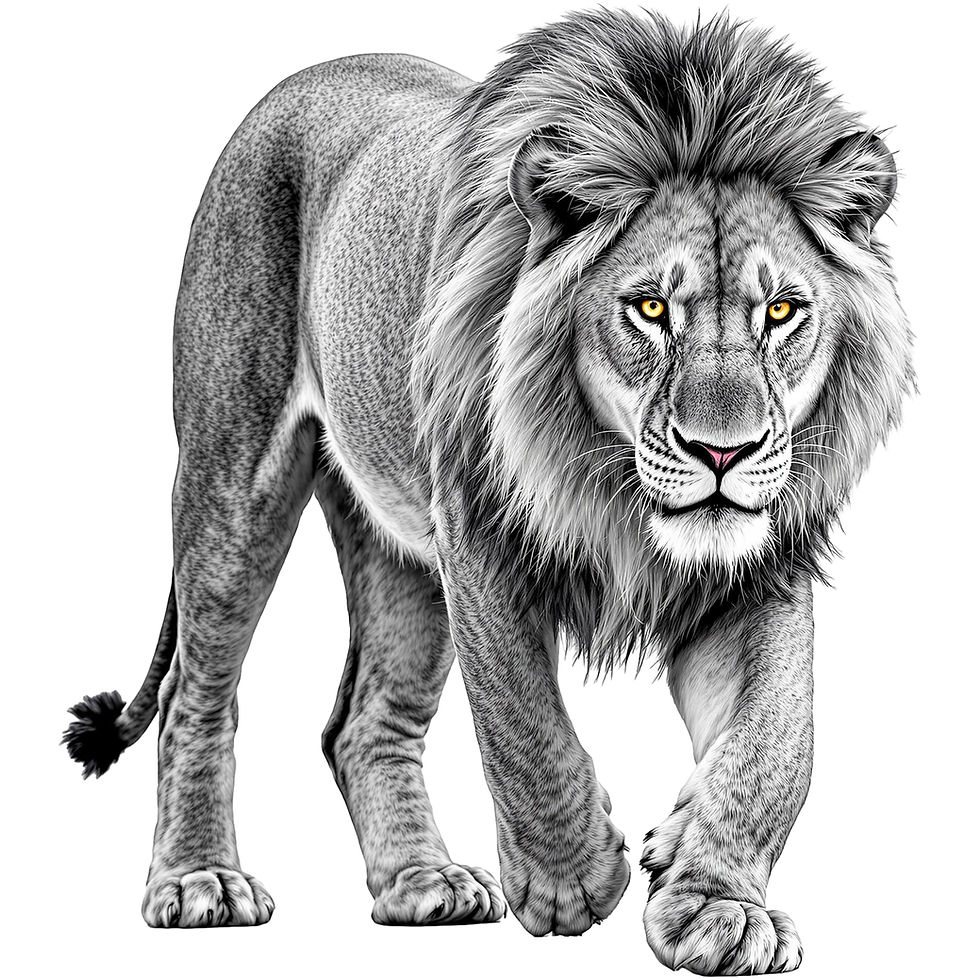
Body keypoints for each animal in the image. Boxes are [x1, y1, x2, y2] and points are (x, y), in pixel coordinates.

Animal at [63, 9, 912, 975]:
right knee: (194, 695)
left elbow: (776, 745)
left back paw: (420, 884)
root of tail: (300, 81)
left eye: (782, 312)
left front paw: (717, 902)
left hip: (397, 550)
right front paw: (571, 878)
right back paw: (198, 880)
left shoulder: (761, 567)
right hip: (233, 476)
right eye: (651, 309)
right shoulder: (479, 539)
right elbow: (521, 719)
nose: (722, 452)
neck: (617, 496)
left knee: (361, 723)